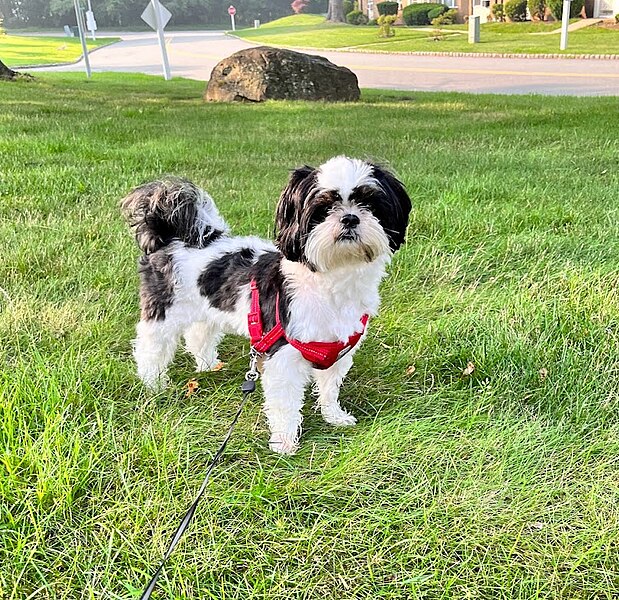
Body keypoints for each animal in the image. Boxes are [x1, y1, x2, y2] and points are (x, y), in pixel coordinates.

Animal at [122, 157, 412, 452]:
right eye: (323, 209)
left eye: (370, 204)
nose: (350, 218)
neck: (333, 282)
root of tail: (171, 235)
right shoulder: (284, 357)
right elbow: (285, 404)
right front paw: (283, 442)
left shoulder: (337, 351)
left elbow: (330, 387)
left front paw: (334, 416)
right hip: (164, 309)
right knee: (151, 345)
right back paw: (153, 382)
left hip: (206, 306)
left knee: (199, 334)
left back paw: (208, 365)